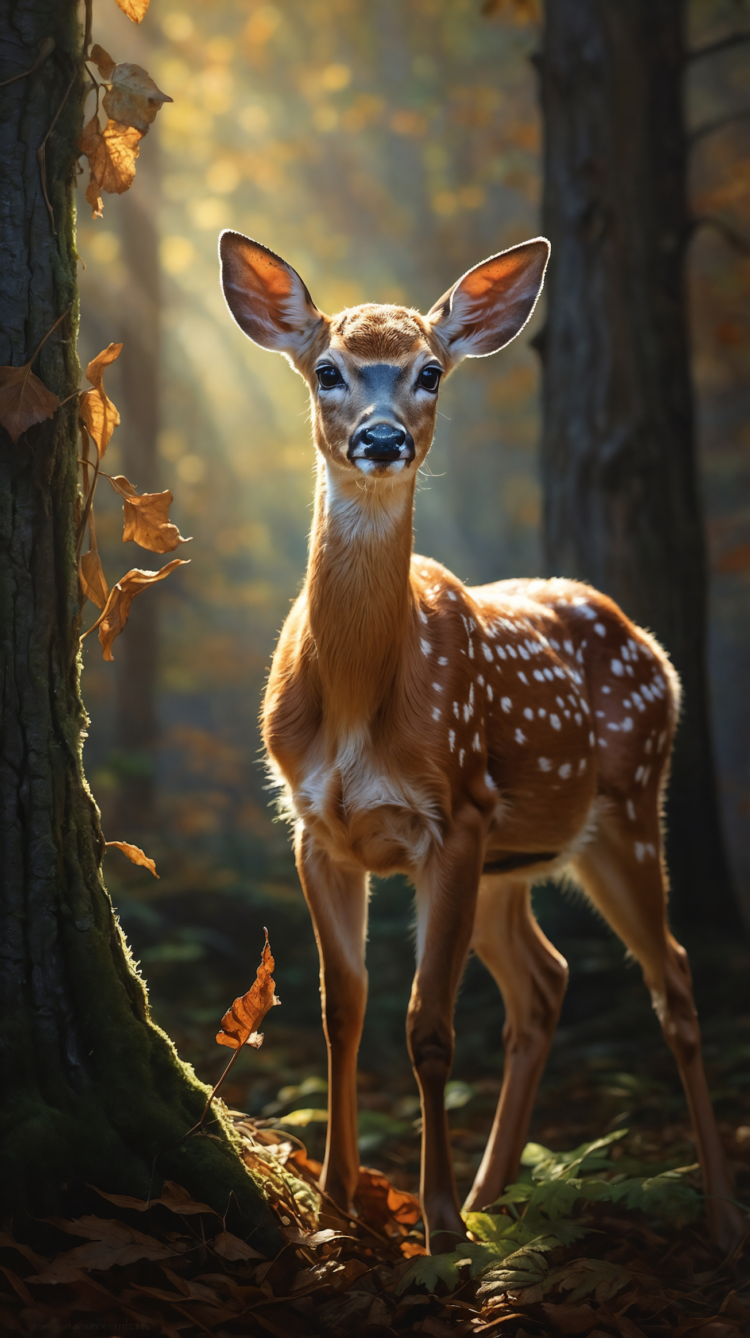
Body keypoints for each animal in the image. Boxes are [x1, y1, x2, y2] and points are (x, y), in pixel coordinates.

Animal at [219, 230, 744, 1254]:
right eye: (327, 370)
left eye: (430, 371)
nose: (383, 439)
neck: (360, 703)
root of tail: (652, 645)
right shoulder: (314, 827)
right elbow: (344, 1008)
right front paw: (337, 1210)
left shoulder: (453, 814)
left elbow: (428, 1026)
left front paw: (433, 1233)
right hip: (515, 859)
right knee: (545, 982)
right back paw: (490, 1197)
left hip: (627, 811)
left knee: (675, 978)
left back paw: (716, 1214)